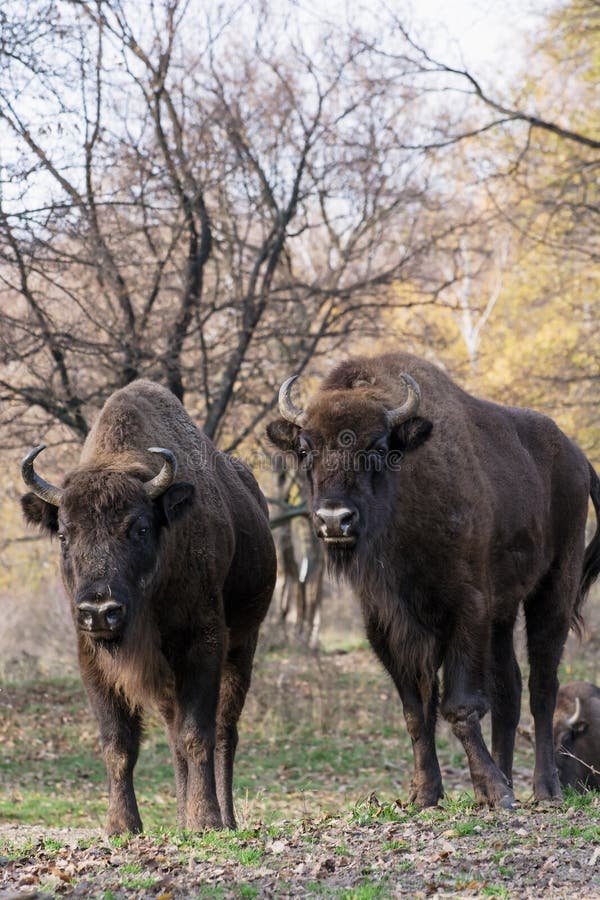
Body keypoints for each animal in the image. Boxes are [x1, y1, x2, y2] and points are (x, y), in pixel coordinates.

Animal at [21, 379, 276, 834]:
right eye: (65, 534)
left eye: (139, 528)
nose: (100, 610)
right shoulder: (92, 657)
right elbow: (119, 743)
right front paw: (122, 825)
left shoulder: (202, 645)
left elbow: (198, 733)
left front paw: (206, 819)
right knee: (174, 736)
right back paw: (179, 817)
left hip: (243, 646)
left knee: (225, 731)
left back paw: (225, 819)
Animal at [267, 352, 600, 808]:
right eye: (305, 448)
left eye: (378, 447)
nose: (334, 520)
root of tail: (578, 458)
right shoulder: (385, 623)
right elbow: (416, 710)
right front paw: (426, 793)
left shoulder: (467, 610)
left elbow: (459, 705)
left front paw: (494, 790)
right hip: (503, 613)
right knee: (509, 690)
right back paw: (507, 778)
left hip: (554, 589)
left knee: (542, 686)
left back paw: (544, 789)